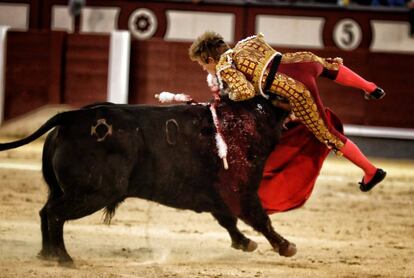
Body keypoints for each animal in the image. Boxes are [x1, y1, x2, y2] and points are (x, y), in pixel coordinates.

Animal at [0, 95, 298, 262]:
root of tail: (71, 118)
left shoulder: (218, 196)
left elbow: (228, 220)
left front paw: (244, 243)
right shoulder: (242, 190)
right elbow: (258, 217)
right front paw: (286, 246)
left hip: (66, 191)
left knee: (45, 212)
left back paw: (47, 254)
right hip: (94, 193)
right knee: (55, 214)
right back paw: (62, 257)